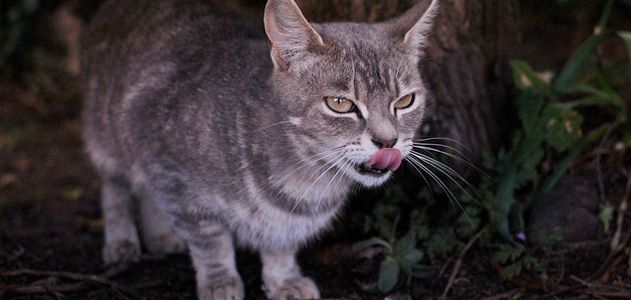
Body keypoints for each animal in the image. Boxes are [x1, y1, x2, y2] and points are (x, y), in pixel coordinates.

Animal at [80, 0, 440, 298]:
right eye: (340, 104)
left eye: (405, 101)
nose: (388, 141)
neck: (307, 181)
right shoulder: (172, 173)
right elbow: (210, 239)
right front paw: (219, 280)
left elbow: (281, 245)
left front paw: (283, 279)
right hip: (110, 136)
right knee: (116, 188)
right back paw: (122, 239)